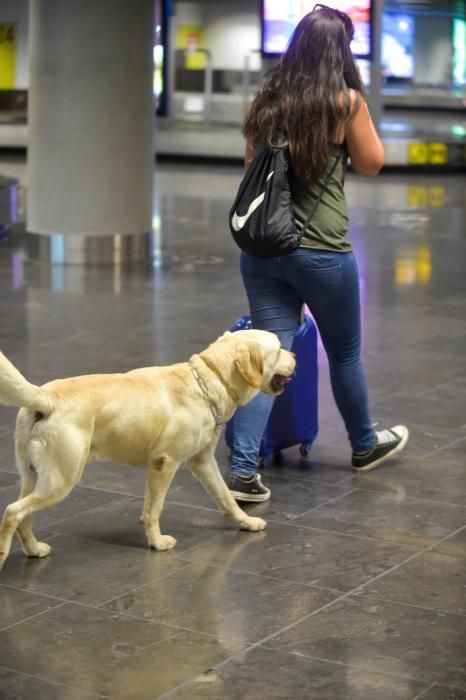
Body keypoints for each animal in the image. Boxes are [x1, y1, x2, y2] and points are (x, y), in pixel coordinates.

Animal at [0, 330, 294, 568]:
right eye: (279, 349)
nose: (294, 355)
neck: (210, 379)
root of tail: (46, 398)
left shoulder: (202, 462)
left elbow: (225, 498)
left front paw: (247, 522)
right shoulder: (165, 462)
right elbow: (155, 509)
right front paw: (157, 542)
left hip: (34, 477)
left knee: (23, 516)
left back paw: (34, 549)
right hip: (61, 480)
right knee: (13, 512)